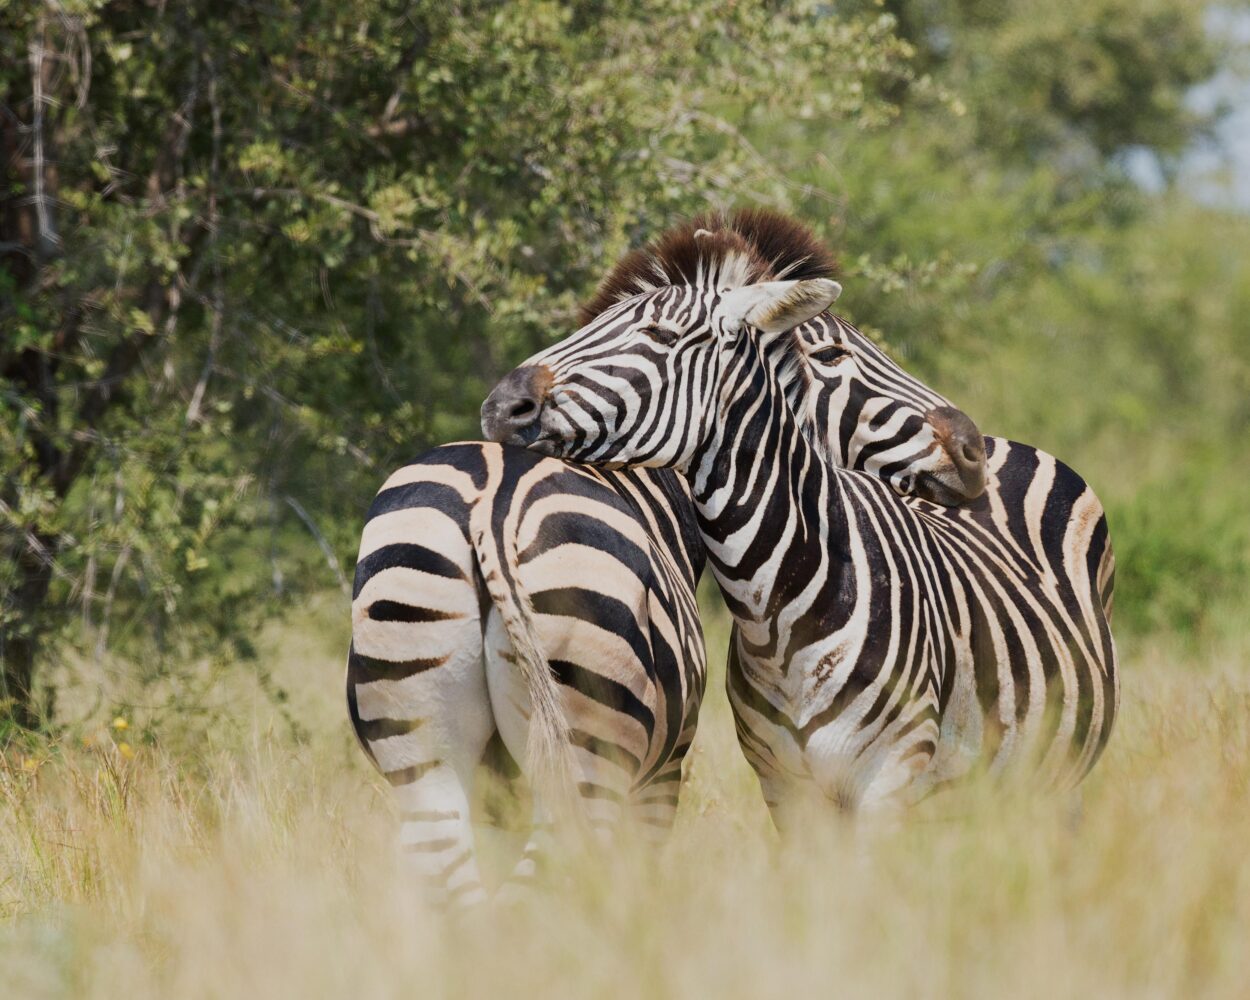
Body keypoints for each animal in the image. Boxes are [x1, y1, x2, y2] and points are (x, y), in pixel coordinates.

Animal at [482, 208, 1120, 820]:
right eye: (831, 353)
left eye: (660, 333)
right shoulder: (785, 788)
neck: (780, 614)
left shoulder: (889, 779)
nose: (972, 450)